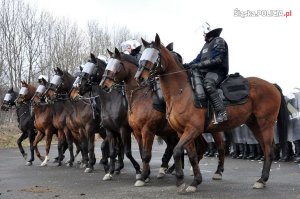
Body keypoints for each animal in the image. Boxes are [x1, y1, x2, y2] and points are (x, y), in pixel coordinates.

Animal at [101, 48, 225, 187]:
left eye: (116, 65)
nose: (104, 85)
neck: (141, 97)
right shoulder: (134, 131)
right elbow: (140, 152)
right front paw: (144, 174)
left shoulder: (142, 130)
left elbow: (140, 153)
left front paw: (142, 175)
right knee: (197, 147)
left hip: (210, 129)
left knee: (220, 146)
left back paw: (217, 172)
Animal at [135, 34, 288, 193]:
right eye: (142, 55)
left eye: (154, 55)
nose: (139, 78)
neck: (181, 92)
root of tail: (272, 85)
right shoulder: (181, 131)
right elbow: (192, 156)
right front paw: (195, 182)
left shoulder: (192, 129)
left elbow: (177, 151)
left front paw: (181, 181)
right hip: (254, 124)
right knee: (264, 147)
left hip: (266, 124)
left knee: (268, 149)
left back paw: (261, 180)